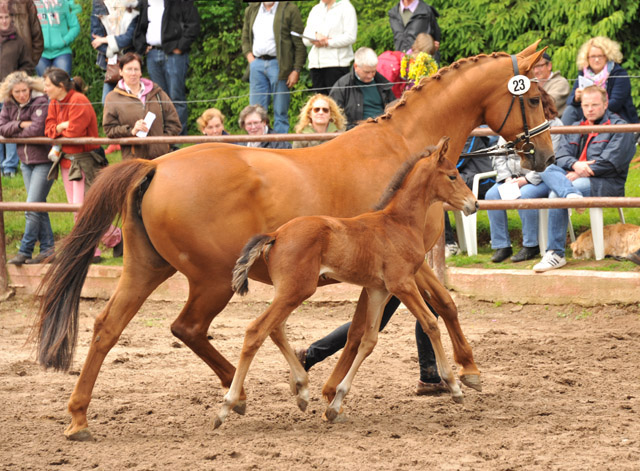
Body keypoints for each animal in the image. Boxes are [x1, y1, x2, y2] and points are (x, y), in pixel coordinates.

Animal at [215, 138, 476, 430]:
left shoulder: (378, 290)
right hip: (297, 290)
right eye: (452, 175)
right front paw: (454, 386)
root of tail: (276, 234)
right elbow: (430, 324)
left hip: (290, 291)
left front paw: (335, 404)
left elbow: (368, 340)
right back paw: (227, 406)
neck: (398, 223)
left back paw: (302, 390)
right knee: (256, 331)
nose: (474, 204)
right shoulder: (403, 284)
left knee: (276, 329)